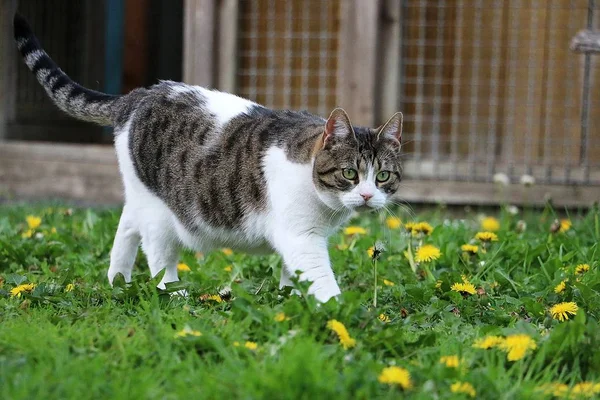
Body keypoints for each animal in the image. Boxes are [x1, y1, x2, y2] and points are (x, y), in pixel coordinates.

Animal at [12, 12, 404, 302]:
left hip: (139, 196)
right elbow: (319, 278)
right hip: (159, 211)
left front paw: (290, 300)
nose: (367, 196)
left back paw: (117, 280)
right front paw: (336, 313)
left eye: (383, 176)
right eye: (350, 173)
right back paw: (175, 294)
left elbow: (293, 277)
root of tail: (137, 95)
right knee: (158, 256)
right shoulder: (301, 237)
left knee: (125, 226)